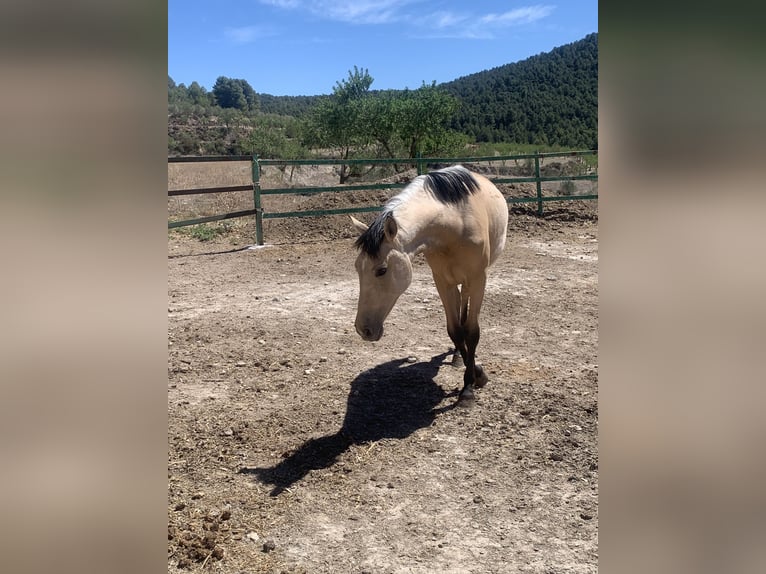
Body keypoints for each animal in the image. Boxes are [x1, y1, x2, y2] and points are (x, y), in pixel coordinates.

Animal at [350, 165, 508, 410]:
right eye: (358, 267)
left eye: (382, 270)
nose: (363, 329)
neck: (454, 222)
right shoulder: (441, 280)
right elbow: (455, 330)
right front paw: (473, 373)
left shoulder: (477, 278)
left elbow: (471, 332)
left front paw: (470, 386)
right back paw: (457, 357)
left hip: (471, 281)